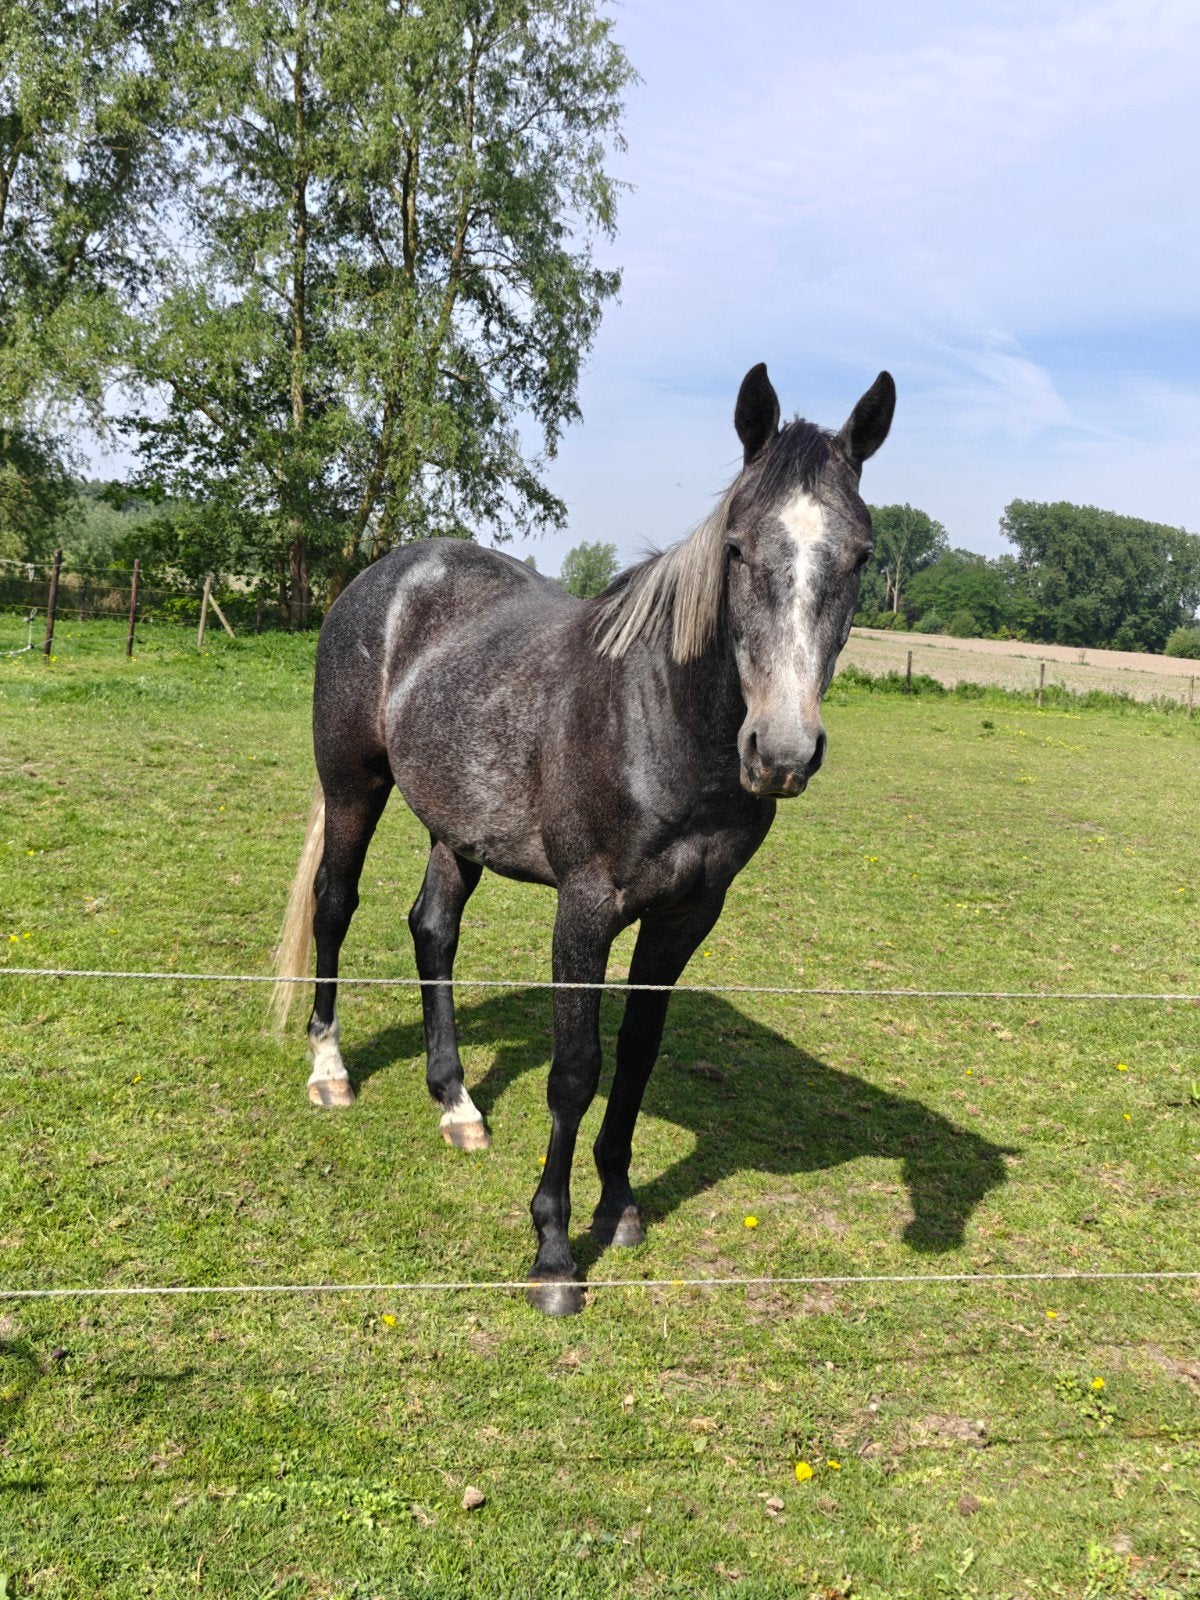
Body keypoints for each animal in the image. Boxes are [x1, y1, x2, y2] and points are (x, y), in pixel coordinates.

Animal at [271, 361, 895, 1315]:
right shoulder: (587, 908)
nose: (781, 752)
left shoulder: (686, 916)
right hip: (354, 789)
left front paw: (620, 1203)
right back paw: (329, 1071)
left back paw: (457, 1103)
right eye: (737, 547)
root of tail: (389, 574)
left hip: (458, 828)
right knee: (334, 906)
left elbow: (636, 1056)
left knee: (433, 929)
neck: (660, 721)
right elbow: (576, 1068)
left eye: (859, 556)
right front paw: (555, 1252)